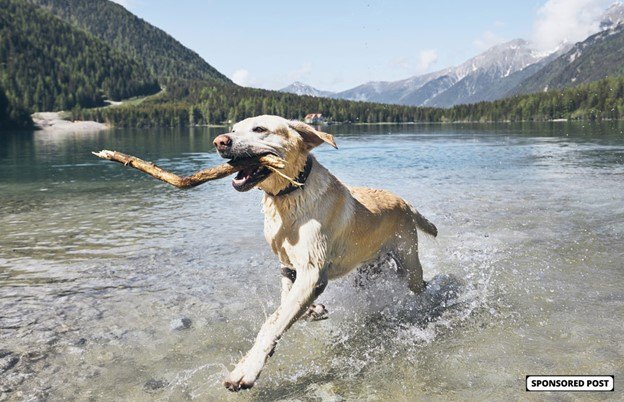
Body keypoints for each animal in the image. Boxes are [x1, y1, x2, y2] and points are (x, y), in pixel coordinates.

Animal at [214, 114, 438, 392]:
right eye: (233, 129)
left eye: (259, 129)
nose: (220, 141)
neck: (290, 195)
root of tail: (405, 202)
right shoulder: (288, 266)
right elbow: (285, 305)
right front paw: (313, 310)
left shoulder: (312, 272)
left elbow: (272, 323)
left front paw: (246, 370)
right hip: (368, 271)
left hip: (409, 261)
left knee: (419, 283)